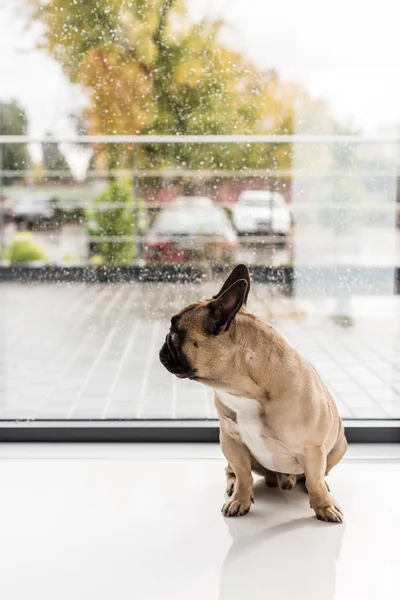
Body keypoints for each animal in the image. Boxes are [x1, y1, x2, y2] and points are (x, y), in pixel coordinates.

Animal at [159, 264, 346, 524]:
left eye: (175, 333)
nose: (164, 343)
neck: (244, 390)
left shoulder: (314, 448)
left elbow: (316, 480)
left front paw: (324, 505)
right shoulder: (231, 441)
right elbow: (243, 474)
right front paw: (240, 499)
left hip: (339, 445)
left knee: (316, 475)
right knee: (232, 471)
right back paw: (233, 484)